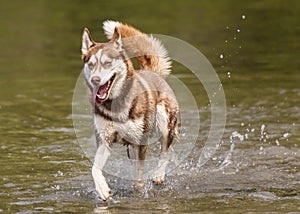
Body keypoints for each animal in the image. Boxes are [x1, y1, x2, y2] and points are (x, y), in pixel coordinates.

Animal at [79, 20, 178, 201]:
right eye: (91, 64)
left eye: (107, 63)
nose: (95, 79)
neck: (115, 104)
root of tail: (149, 70)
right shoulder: (104, 140)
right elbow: (95, 169)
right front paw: (102, 189)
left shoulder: (141, 142)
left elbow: (138, 180)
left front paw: (138, 192)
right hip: (131, 147)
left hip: (164, 122)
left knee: (165, 151)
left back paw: (159, 174)